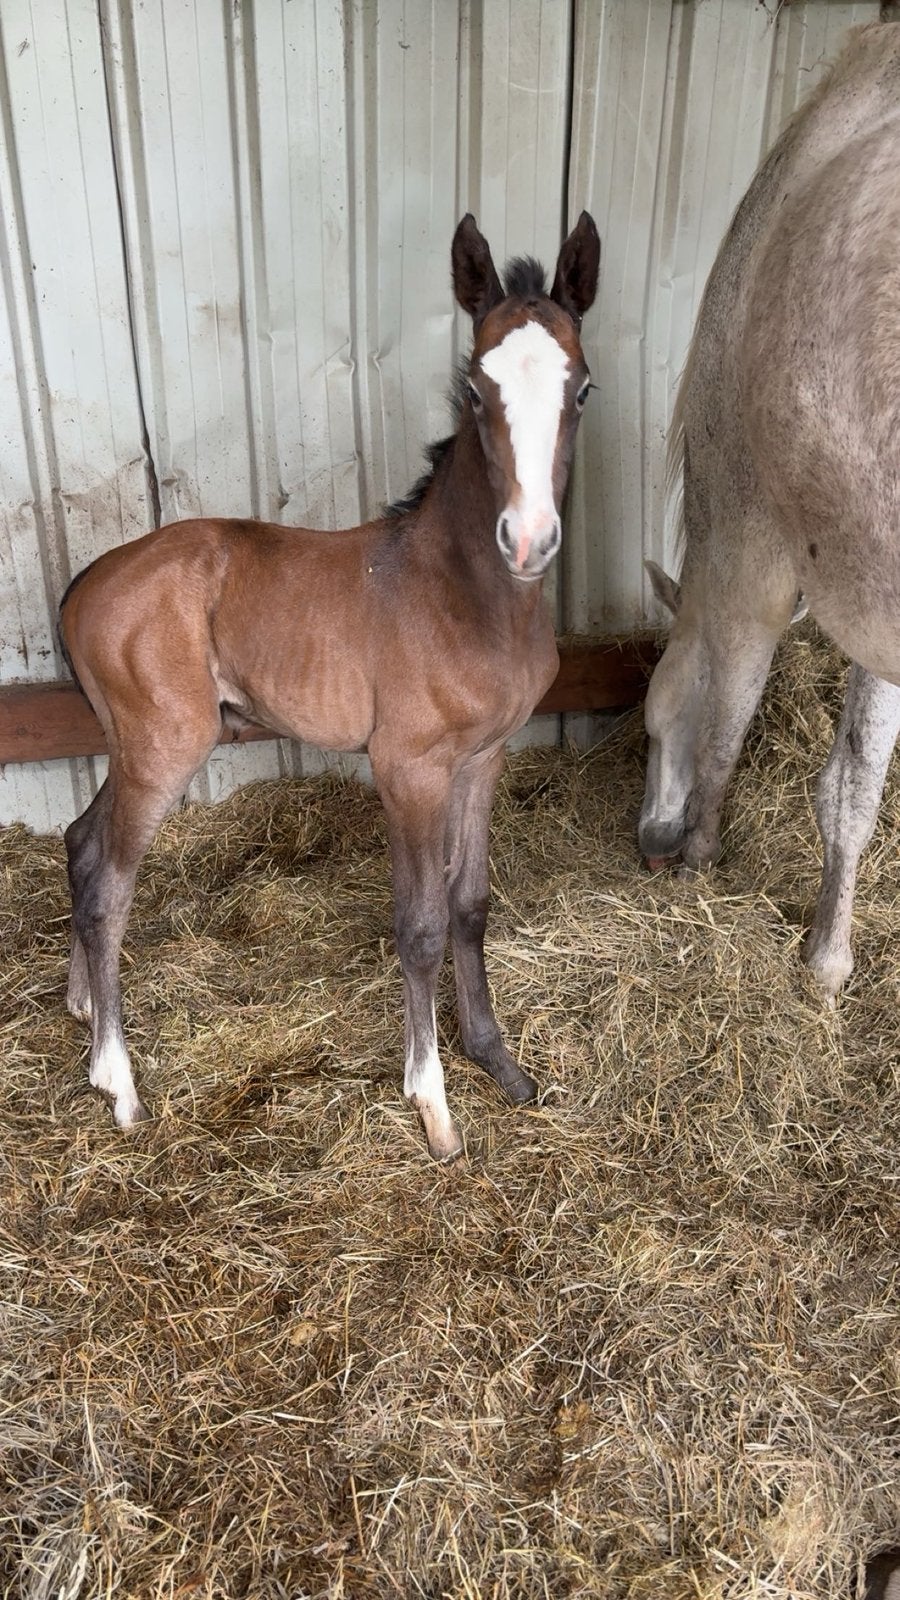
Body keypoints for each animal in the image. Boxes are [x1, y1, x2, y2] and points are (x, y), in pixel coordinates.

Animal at [58, 211, 600, 1159]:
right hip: (164, 749)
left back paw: (86, 1010)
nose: (529, 539)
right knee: (105, 884)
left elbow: (470, 904)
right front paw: (433, 1104)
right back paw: (117, 1083)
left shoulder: (484, 759)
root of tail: (89, 579)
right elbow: (420, 925)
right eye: (474, 390)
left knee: (79, 841)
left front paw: (497, 1060)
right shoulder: (407, 768)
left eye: (582, 390)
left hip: (130, 745)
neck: (465, 594)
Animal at [638, 19, 900, 1000]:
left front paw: (704, 852)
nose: (650, 840)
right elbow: (855, 785)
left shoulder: (753, 565)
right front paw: (829, 959)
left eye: (650, 717)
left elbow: (725, 725)